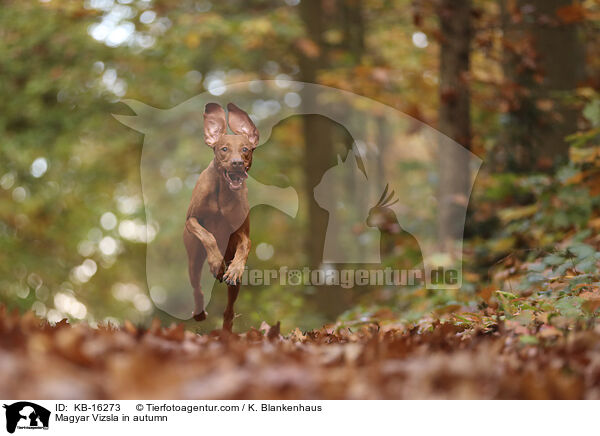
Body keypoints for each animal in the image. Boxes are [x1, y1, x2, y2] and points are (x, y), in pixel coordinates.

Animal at [183, 102, 258, 332]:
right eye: (223, 149)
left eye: (245, 149)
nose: (236, 163)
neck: (223, 192)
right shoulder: (191, 220)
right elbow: (208, 236)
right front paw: (216, 262)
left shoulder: (241, 232)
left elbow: (246, 245)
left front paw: (233, 269)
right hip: (193, 257)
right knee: (196, 286)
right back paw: (199, 312)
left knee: (229, 309)